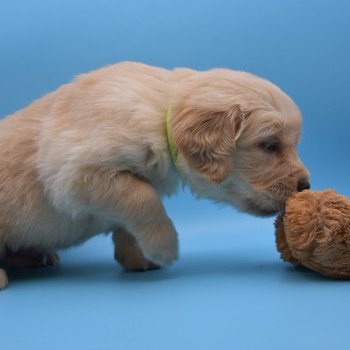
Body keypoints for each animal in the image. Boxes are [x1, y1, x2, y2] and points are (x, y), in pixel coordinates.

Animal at [0, 61, 308, 288]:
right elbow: (143, 197)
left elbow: (128, 216)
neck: (161, 117)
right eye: (269, 145)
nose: (306, 185)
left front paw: (139, 257)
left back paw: (34, 255)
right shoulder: (75, 174)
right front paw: (164, 247)